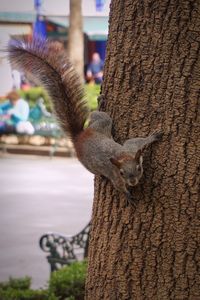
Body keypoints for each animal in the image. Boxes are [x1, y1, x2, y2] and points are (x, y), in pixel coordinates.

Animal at [7, 38, 162, 205]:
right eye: (121, 173)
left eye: (139, 168)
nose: (133, 182)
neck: (123, 157)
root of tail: (78, 137)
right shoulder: (114, 174)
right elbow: (118, 185)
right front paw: (127, 195)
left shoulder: (131, 148)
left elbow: (137, 141)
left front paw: (153, 137)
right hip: (89, 162)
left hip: (102, 123)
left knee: (95, 116)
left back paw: (101, 102)